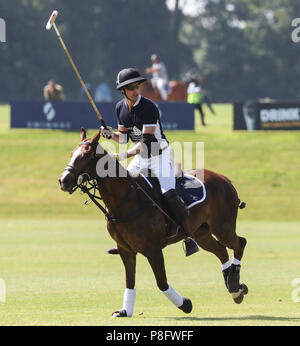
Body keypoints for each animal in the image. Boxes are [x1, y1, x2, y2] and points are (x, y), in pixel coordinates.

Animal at [58, 128, 248, 318]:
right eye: (71, 153)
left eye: (86, 155)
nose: (63, 180)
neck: (126, 202)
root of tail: (225, 179)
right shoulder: (125, 249)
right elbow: (130, 281)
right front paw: (125, 310)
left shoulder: (153, 249)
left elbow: (161, 282)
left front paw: (185, 304)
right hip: (202, 232)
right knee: (221, 250)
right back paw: (234, 288)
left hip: (223, 227)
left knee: (239, 243)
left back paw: (234, 282)